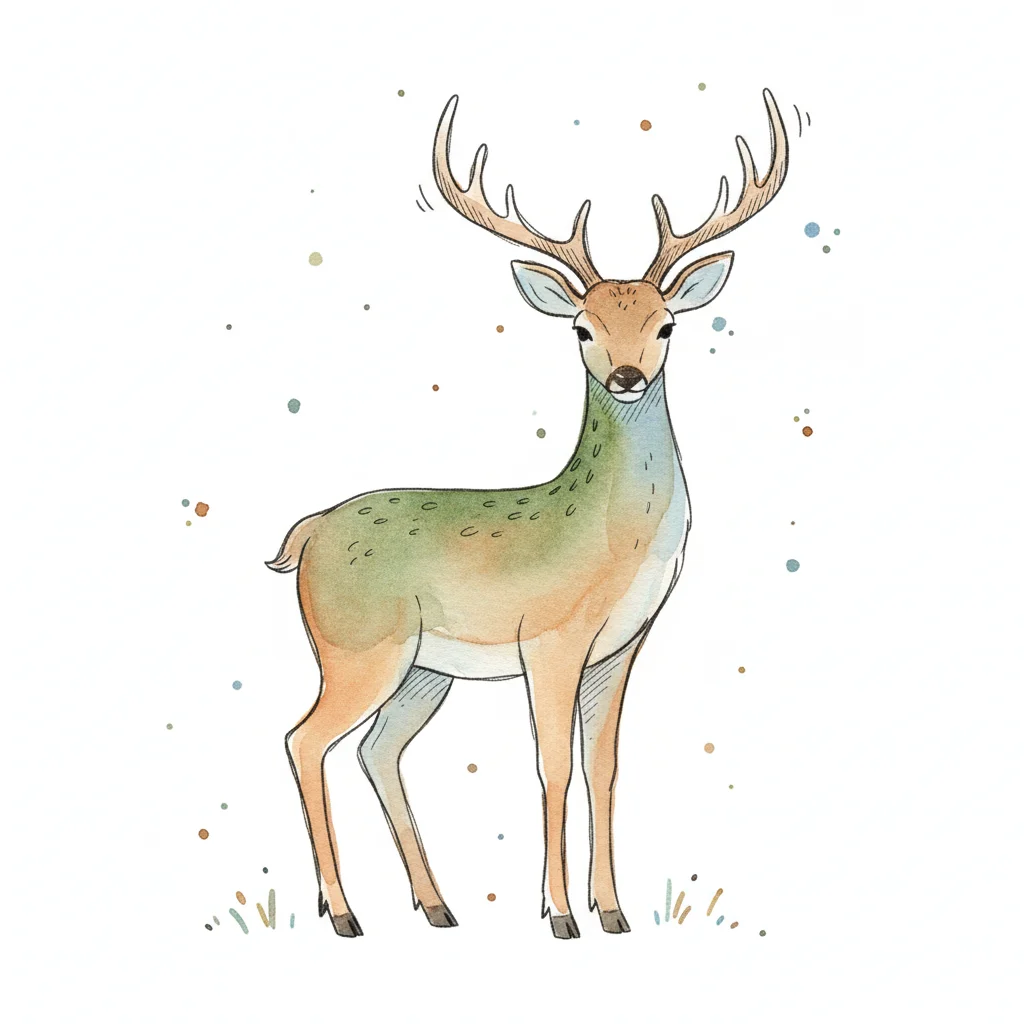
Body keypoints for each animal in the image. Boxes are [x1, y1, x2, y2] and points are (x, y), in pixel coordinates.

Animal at [267, 89, 789, 940]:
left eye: (667, 324)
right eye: (581, 327)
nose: (626, 374)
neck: (614, 547)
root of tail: (307, 533)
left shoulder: (620, 647)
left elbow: (603, 767)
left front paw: (614, 911)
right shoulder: (548, 640)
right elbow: (552, 766)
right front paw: (559, 913)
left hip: (422, 671)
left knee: (377, 751)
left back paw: (437, 906)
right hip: (356, 648)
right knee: (304, 739)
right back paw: (343, 913)